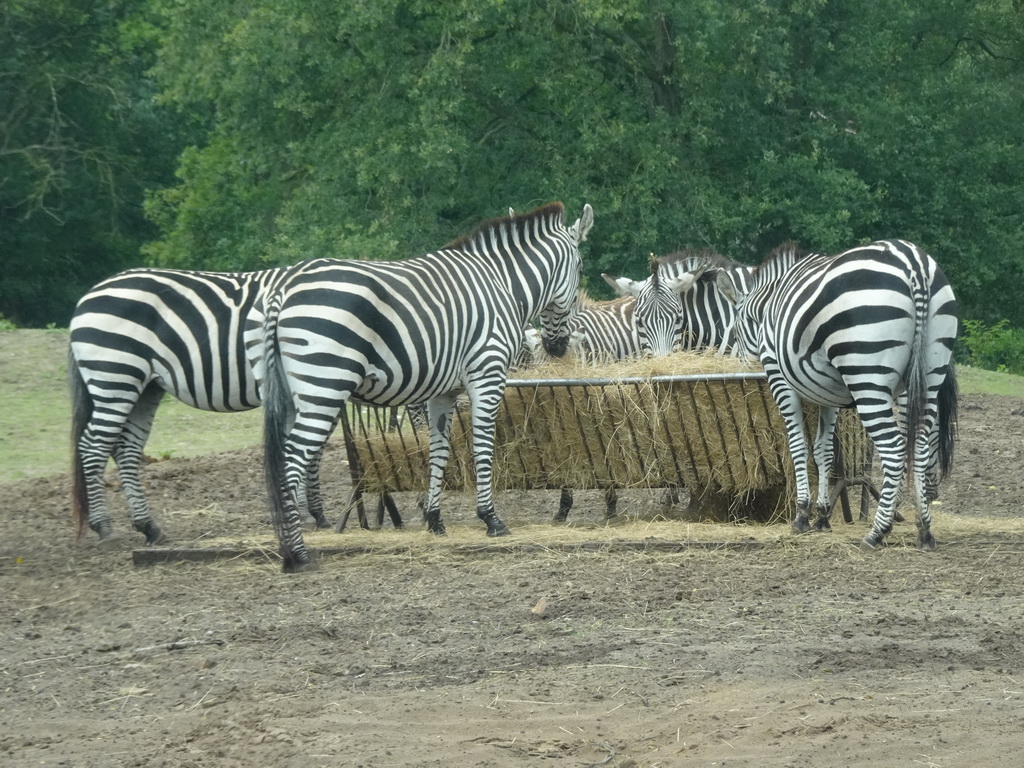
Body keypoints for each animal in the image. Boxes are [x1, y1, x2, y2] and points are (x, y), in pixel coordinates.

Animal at [67, 268, 344, 544]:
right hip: (116, 375)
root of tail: (90, 294)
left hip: (145, 388)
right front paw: (313, 514)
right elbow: (312, 452)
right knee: (93, 446)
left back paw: (149, 527)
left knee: (126, 448)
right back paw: (104, 527)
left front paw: (305, 512)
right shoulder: (322, 384)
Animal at [247, 201, 598, 573]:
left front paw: (435, 519)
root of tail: (283, 291)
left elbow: (439, 449)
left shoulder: (443, 392)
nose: (556, 348)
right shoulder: (486, 374)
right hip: (325, 386)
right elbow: (482, 445)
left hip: (294, 393)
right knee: (291, 461)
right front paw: (491, 518)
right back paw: (297, 554)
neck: (501, 284)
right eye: (580, 267)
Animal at [712, 240, 958, 552]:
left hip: (867, 373)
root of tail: (912, 262)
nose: (740, 366)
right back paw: (924, 530)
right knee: (921, 447)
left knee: (894, 449)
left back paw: (877, 532)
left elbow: (799, 447)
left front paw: (802, 515)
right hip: (929, 372)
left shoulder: (780, 379)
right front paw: (822, 516)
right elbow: (823, 450)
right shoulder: (827, 393)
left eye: (734, 333)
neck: (768, 310)